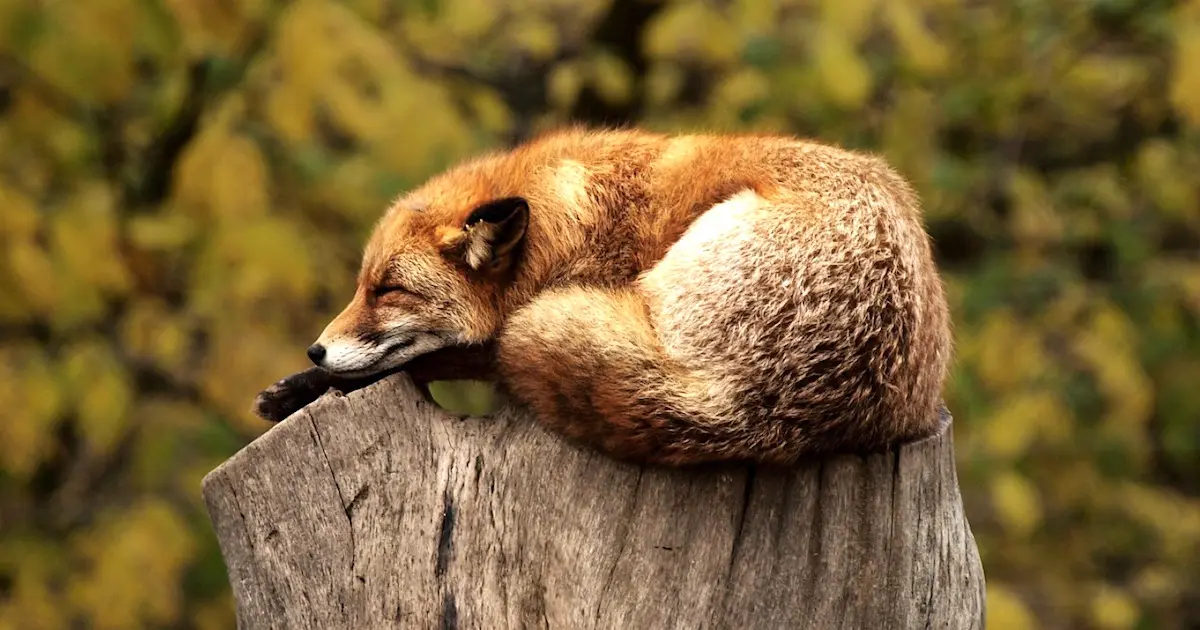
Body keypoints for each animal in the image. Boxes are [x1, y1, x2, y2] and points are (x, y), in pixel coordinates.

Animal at [255, 125, 955, 463]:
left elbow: (440, 357)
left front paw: (308, 385)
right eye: (361, 286)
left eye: (389, 290)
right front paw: (298, 385)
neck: (568, 223)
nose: (316, 350)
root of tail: (755, 408)